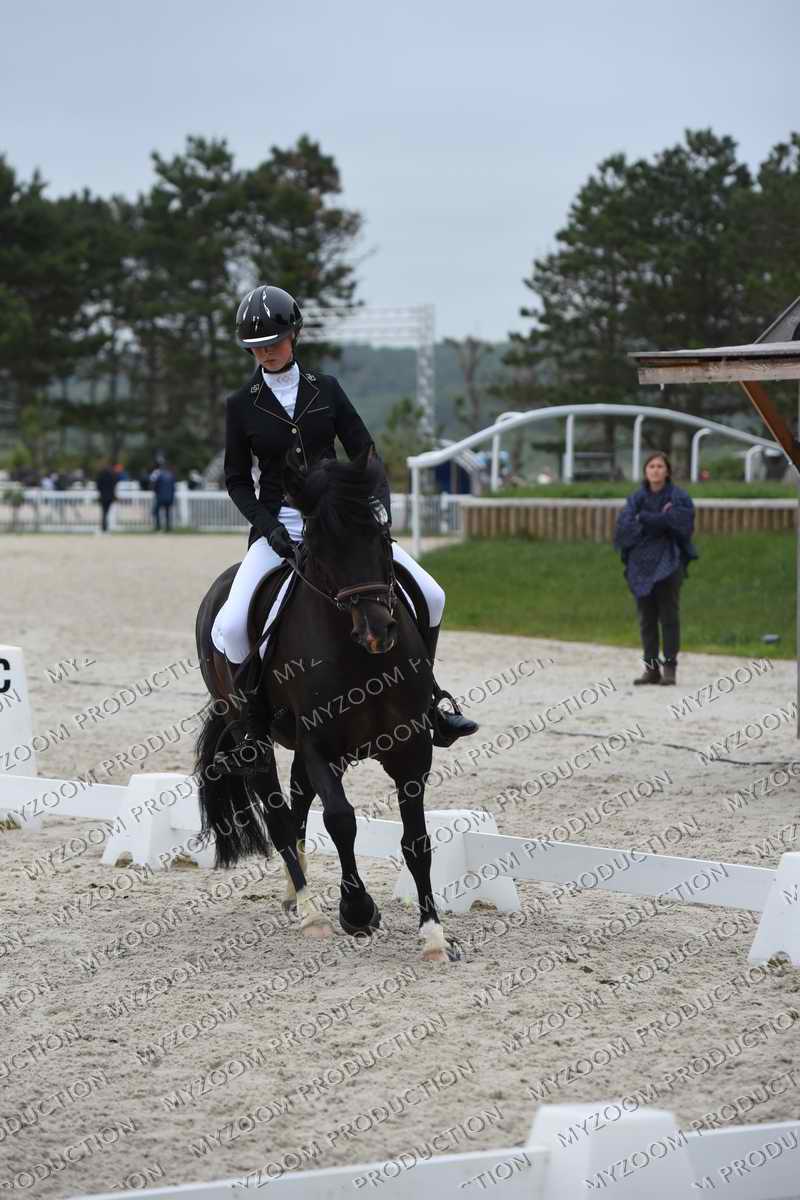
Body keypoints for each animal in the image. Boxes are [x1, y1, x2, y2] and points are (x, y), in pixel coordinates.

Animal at [194, 447, 462, 963]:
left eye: (380, 534)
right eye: (320, 546)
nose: (377, 631)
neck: (362, 660)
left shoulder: (412, 747)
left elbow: (416, 839)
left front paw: (434, 935)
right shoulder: (321, 746)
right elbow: (341, 820)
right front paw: (357, 911)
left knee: (298, 803)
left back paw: (292, 895)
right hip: (254, 737)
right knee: (280, 815)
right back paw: (311, 911)